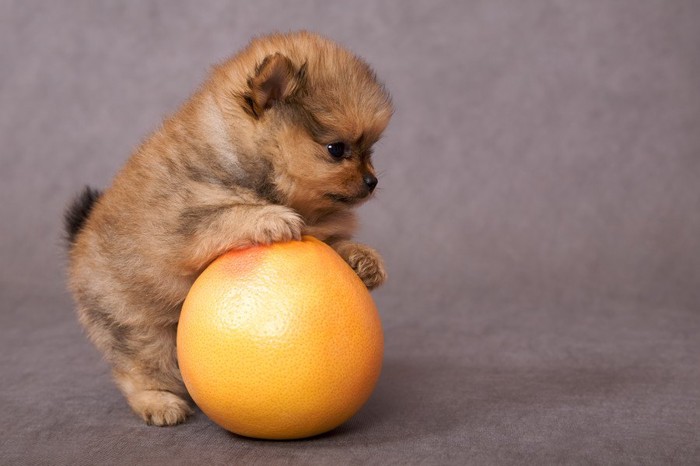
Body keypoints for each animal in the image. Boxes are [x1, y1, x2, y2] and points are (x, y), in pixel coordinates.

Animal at [64, 31, 394, 426]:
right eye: (336, 149)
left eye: (371, 149)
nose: (372, 181)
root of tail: (77, 246)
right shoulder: (185, 222)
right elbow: (230, 214)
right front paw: (270, 218)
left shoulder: (321, 229)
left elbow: (335, 243)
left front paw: (364, 260)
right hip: (135, 321)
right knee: (139, 367)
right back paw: (158, 402)